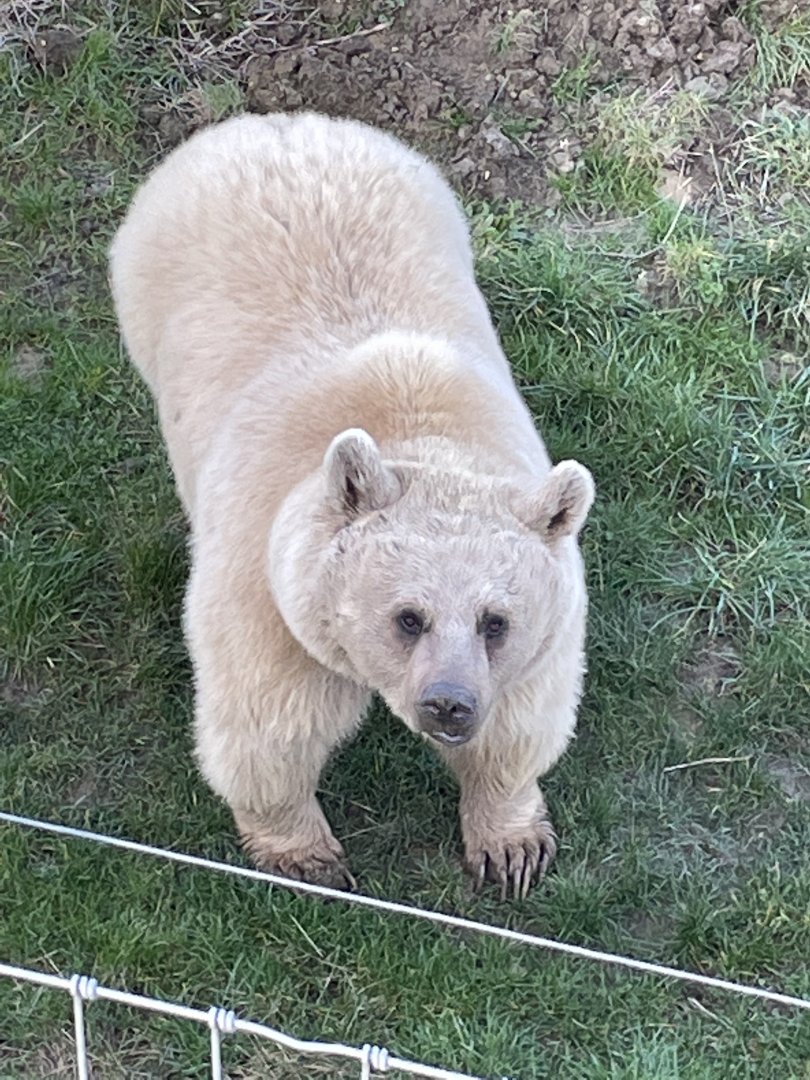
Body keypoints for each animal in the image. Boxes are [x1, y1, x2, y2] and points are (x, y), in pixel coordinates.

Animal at [109, 112, 594, 900]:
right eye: (408, 616)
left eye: (495, 621)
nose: (448, 704)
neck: (415, 428)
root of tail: (277, 124)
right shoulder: (272, 592)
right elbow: (270, 724)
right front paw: (307, 856)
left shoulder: (544, 635)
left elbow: (518, 726)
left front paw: (512, 846)